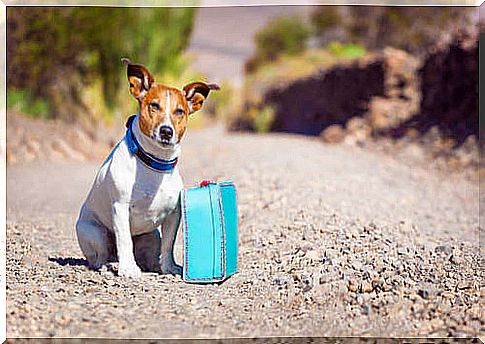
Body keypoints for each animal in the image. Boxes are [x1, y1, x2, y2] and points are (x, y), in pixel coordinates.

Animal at [76, 59, 219, 278]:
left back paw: (152, 265)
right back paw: (110, 265)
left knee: (150, 253)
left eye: (179, 111)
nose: (166, 131)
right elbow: (124, 240)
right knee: (100, 257)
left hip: (151, 236)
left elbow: (168, 245)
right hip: (94, 232)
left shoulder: (173, 215)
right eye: (154, 105)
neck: (153, 162)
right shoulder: (120, 208)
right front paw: (128, 269)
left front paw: (169, 268)